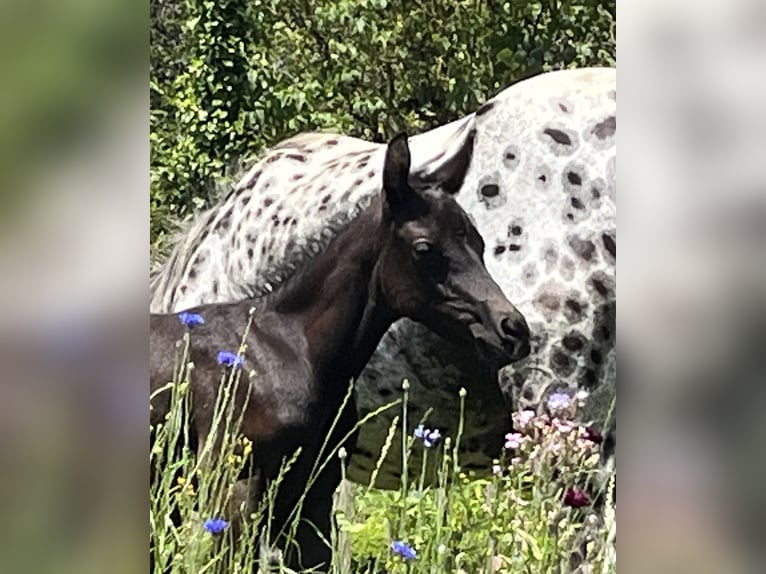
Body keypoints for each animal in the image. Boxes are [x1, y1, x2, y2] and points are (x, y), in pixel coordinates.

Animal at [151, 134, 536, 572]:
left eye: (478, 242)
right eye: (424, 248)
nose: (512, 330)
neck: (288, 347)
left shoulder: (313, 496)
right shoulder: (233, 484)